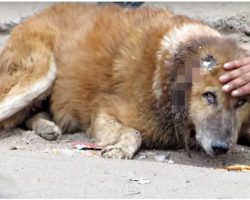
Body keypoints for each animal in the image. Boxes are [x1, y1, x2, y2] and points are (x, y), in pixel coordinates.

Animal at [0, 3, 250, 159]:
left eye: (241, 102)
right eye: (209, 96)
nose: (221, 148)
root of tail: (35, 17)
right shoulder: (103, 112)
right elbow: (134, 133)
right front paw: (121, 148)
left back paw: (47, 126)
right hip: (42, 75)